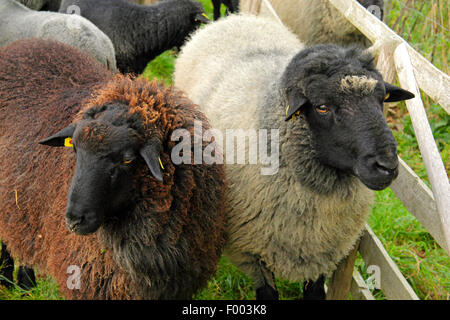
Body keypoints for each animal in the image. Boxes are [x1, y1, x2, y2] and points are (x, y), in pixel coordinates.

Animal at [173, 14, 414, 300]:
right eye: (322, 107)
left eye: (381, 100)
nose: (386, 166)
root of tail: (237, 18)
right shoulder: (252, 251)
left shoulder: (324, 253)